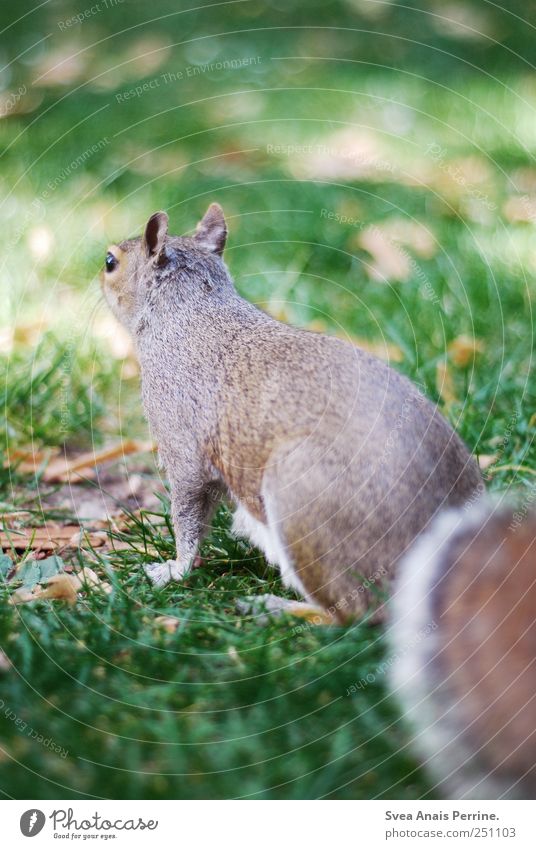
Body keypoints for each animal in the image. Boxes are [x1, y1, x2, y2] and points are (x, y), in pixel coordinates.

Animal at [99, 201, 482, 620]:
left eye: (110, 261)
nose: (98, 272)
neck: (188, 312)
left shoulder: (180, 434)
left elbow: (188, 511)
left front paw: (175, 569)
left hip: (300, 500)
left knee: (347, 614)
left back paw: (277, 606)